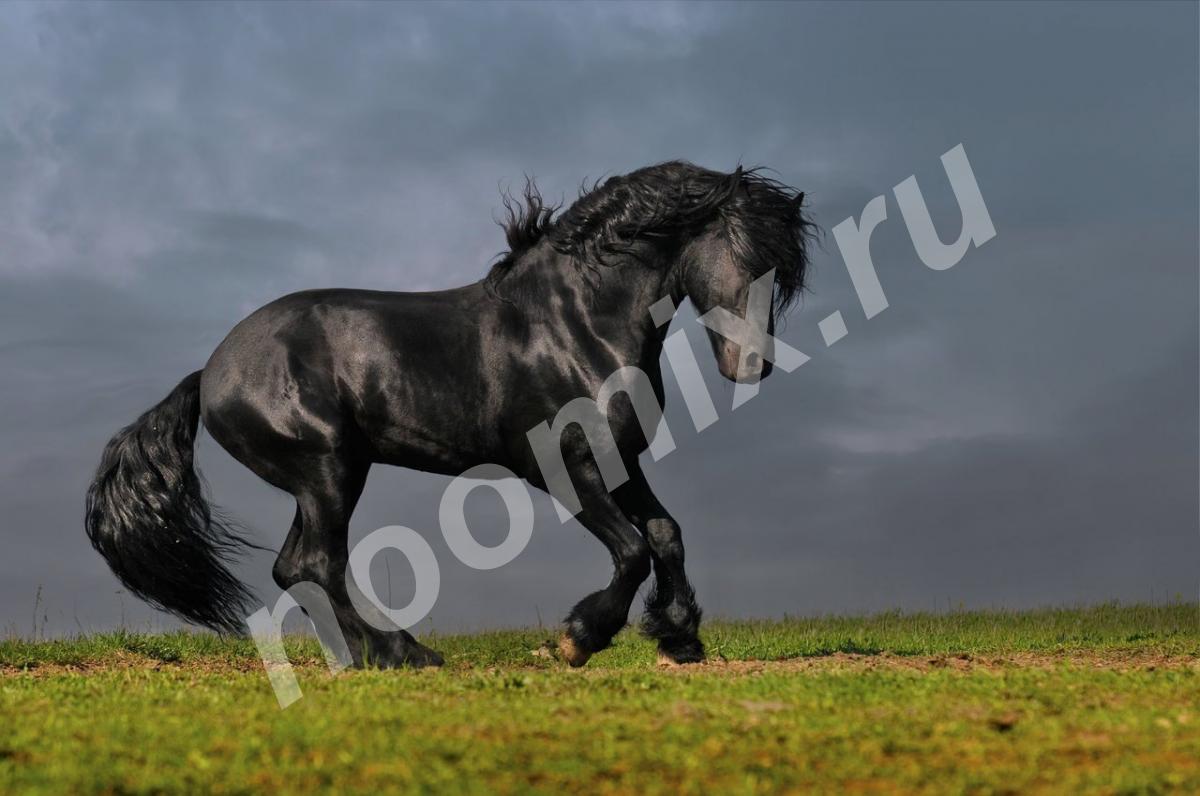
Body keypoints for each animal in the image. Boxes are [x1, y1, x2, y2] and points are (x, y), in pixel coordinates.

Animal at [87, 160, 816, 667]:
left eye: (783, 274)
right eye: (747, 259)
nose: (753, 366)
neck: (574, 323)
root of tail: (211, 372)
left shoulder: (618, 461)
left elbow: (665, 534)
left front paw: (680, 637)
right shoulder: (562, 466)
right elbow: (633, 550)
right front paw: (578, 639)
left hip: (322, 479)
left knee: (297, 567)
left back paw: (364, 657)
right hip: (329, 471)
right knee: (315, 564)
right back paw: (402, 654)